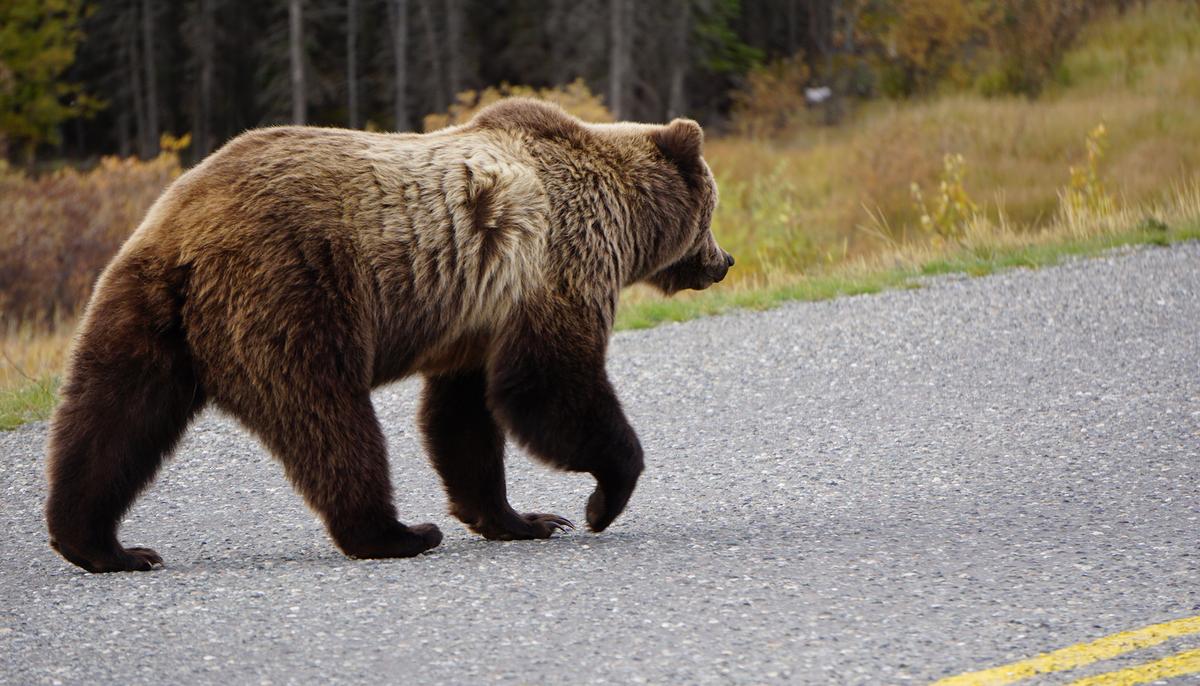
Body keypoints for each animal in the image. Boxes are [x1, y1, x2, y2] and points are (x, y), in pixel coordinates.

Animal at [44, 98, 734, 573]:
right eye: (712, 211)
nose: (723, 261)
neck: (622, 215)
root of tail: (185, 234)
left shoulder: (480, 318)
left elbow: (464, 417)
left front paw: (525, 517)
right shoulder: (558, 264)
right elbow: (548, 386)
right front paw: (599, 501)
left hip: (142, 312)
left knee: (112, 417)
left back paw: (103, 545)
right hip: (294, 294)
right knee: (327, 419)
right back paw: (396, 533)